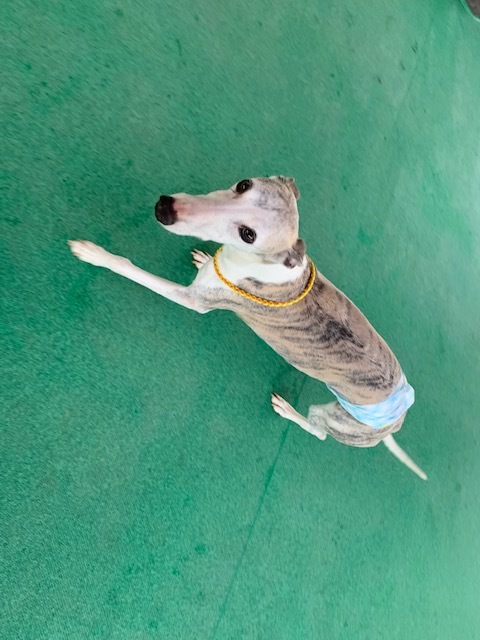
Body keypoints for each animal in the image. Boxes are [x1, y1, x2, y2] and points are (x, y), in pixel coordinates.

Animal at [69, 175, 427, 480]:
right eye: (243, 184)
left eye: (249, 234)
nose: (164, 208)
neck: (260, 264)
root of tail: (397, 421)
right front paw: (203, 259)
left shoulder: (194, 300)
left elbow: (131, 269)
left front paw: (95, 253)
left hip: (337, 420)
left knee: (319, 431)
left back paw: (287, 410)